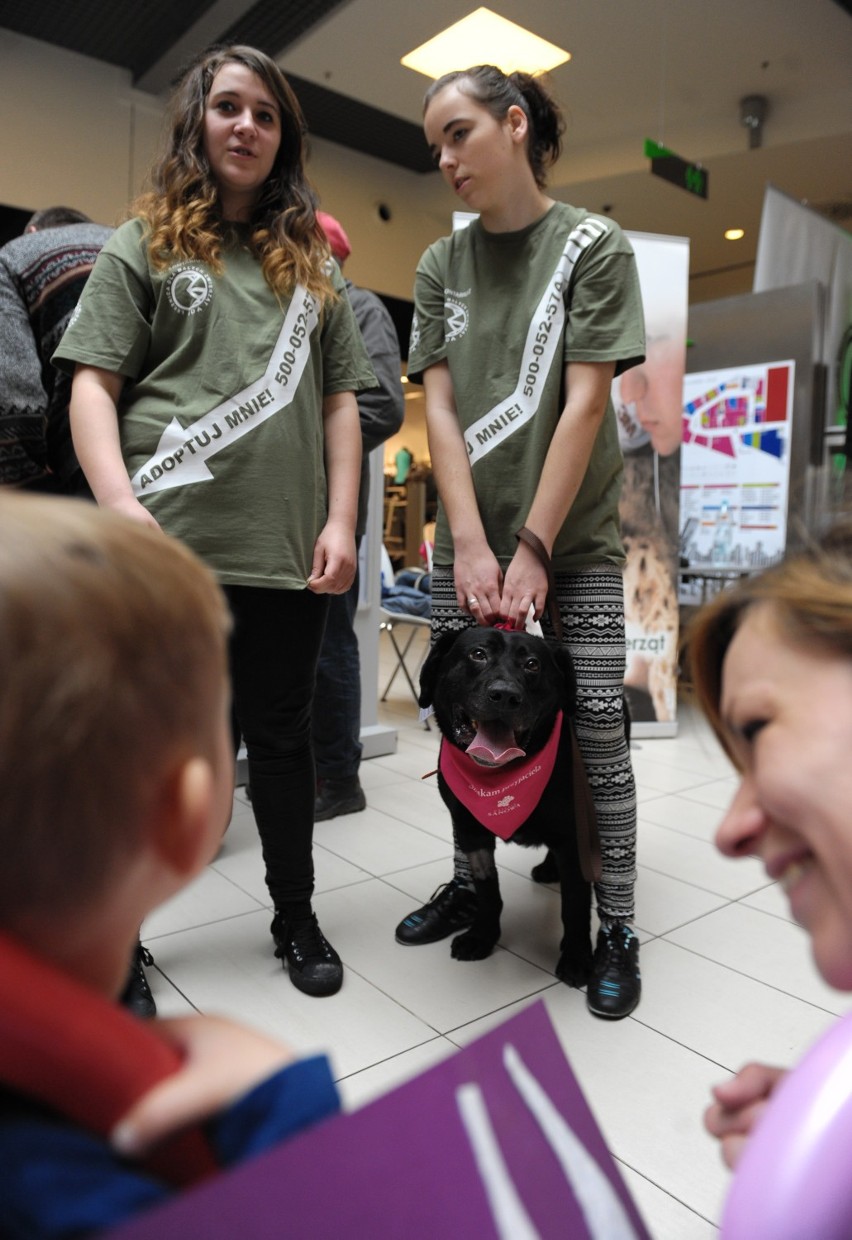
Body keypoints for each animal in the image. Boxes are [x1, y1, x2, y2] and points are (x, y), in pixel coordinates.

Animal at [421, 629, 600, 987]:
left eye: (532, 664)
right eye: (477, 654)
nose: (504, 696)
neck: (499, 778)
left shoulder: (573, 832)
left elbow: (575, 903)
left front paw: (576, 956)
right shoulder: (469, 829)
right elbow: (488, 891)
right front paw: (482, 936)